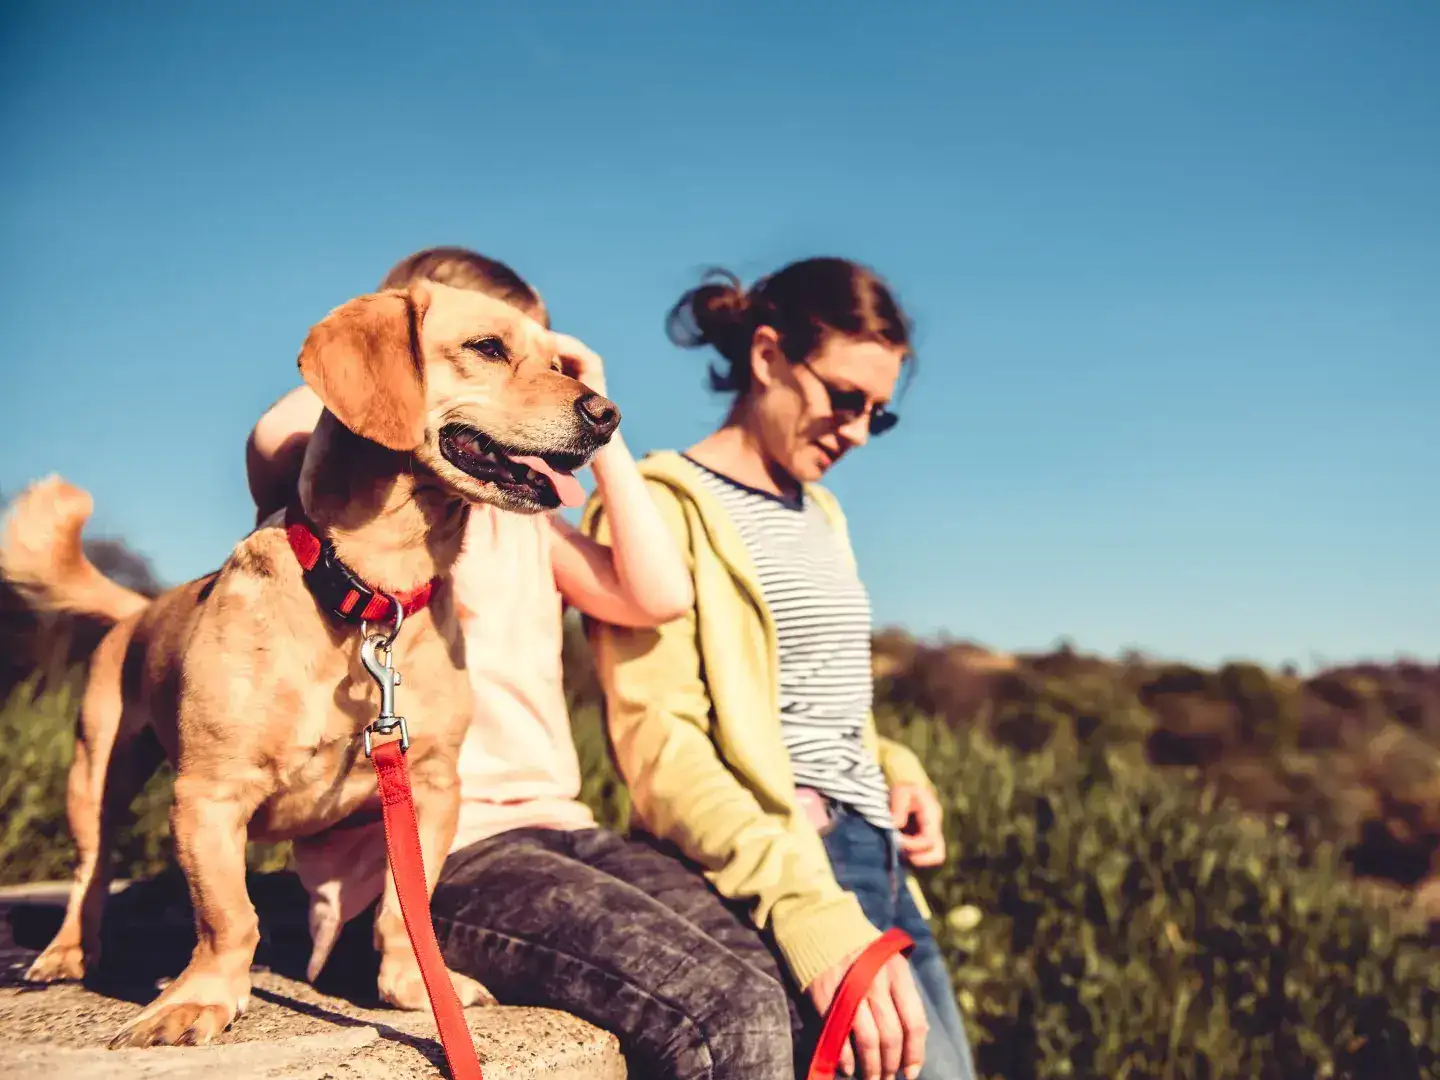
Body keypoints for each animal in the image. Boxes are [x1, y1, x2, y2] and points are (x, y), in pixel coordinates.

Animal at [0, 279, 619, 1048]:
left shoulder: (431, 787)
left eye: (560, 363)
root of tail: (140, 609)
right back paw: (65, 953)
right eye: (487, 348)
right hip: (94, 778)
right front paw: (199, 998)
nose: (608, 414)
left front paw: (413, 988)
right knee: (91, 872)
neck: (371, 594)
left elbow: (401, 909)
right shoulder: (208, 793)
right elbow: (228, 916)